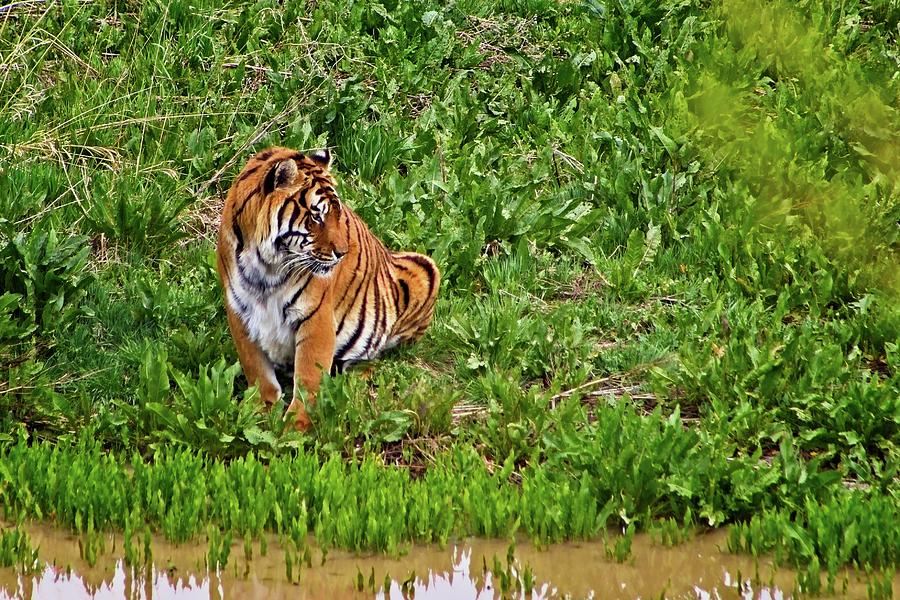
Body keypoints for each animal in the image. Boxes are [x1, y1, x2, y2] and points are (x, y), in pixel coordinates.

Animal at [219, 146, 442, 432]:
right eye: (316, 216)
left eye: (338, 214)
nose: (342, 253)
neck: (265, 266)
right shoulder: (239, 312)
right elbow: (257, 371)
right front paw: (261, 414)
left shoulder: (316, 317)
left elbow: (309, 379)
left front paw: (294, 430)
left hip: (425, 270)